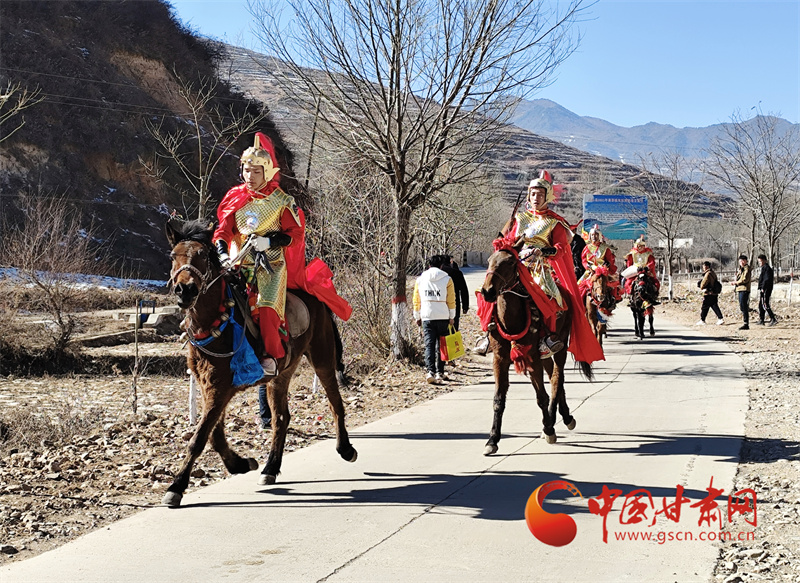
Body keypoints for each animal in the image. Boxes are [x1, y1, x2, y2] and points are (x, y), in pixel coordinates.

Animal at [162, 218, 357, 507]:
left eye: (203, 256)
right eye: (173, 256)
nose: (185, 290)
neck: (213, 321)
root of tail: (314, 294)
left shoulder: (220, 389)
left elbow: (200, 437)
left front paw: (177, 486)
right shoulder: (211, 387)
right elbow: (215, 435)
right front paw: (240, 464)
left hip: (322, 357)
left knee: (335, 404)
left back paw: (345, 448)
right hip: (281, 374)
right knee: (281, 418)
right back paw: (270, 468)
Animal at [479, 248, 592, 455]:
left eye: (510, 262)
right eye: (490, 260)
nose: (487, 291)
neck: (512, 320)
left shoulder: (532, 358)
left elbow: (541, 396)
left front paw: (548, 429)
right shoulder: (500, 359)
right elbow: (498, 399)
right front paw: (492, 439)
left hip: (560, 346)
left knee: (557, 378)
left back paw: (557, 419)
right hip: (545, 356)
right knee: (555, 376)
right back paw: (563, 416)